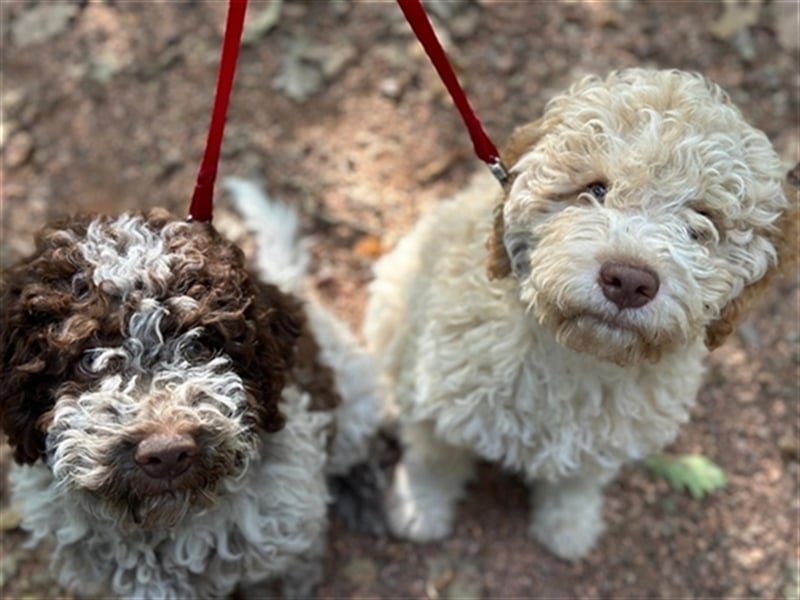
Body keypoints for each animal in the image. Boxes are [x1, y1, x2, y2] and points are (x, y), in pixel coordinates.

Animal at [366, 70, 796, 564]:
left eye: (703, 220)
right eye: (595, 189)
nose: (628, 280)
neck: (576, 357)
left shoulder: (604, 441)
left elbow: (576, 484)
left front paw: (569, 528)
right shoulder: (441, 397)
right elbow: (433, 461)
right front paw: (419, 510)